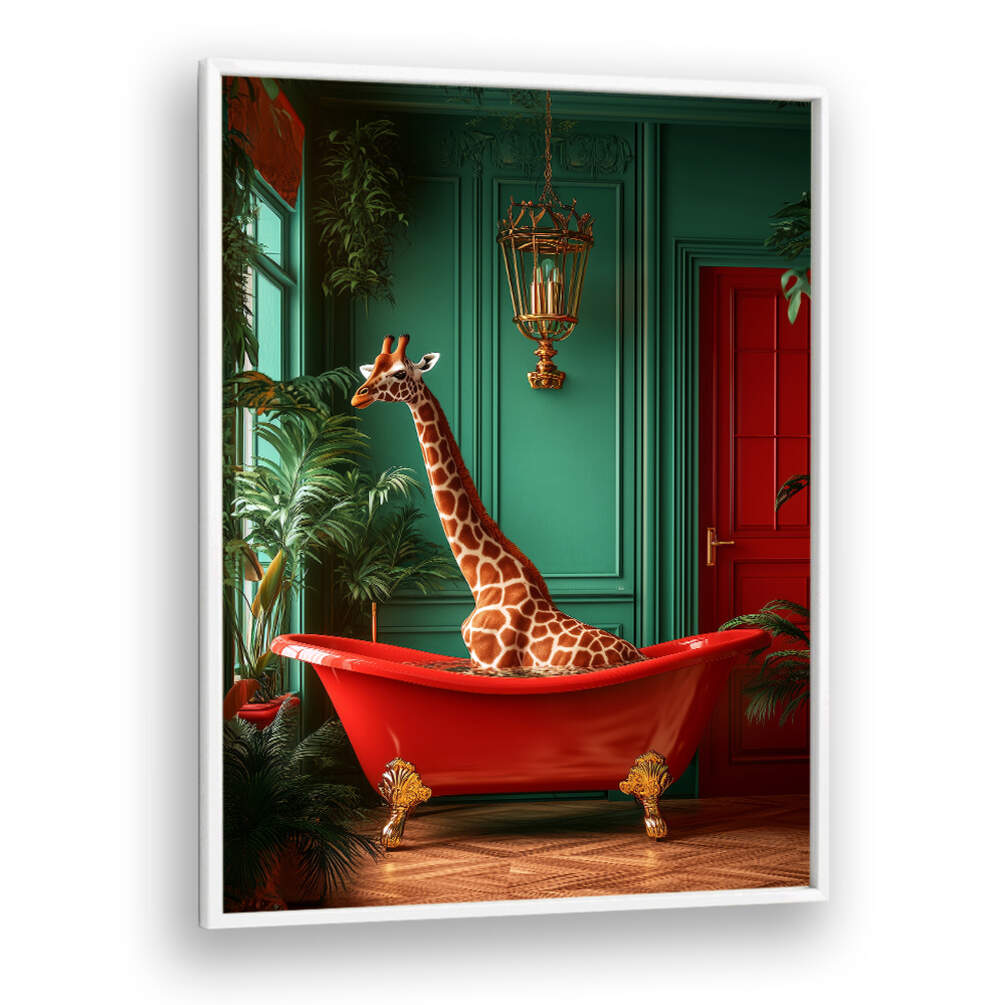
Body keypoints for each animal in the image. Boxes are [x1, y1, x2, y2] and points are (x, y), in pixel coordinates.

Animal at [351, 334, 645, 672]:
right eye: (373, 368)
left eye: (400, 372)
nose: (358, 397)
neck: (482, 582)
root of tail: (637, 654)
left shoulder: (492, 660)